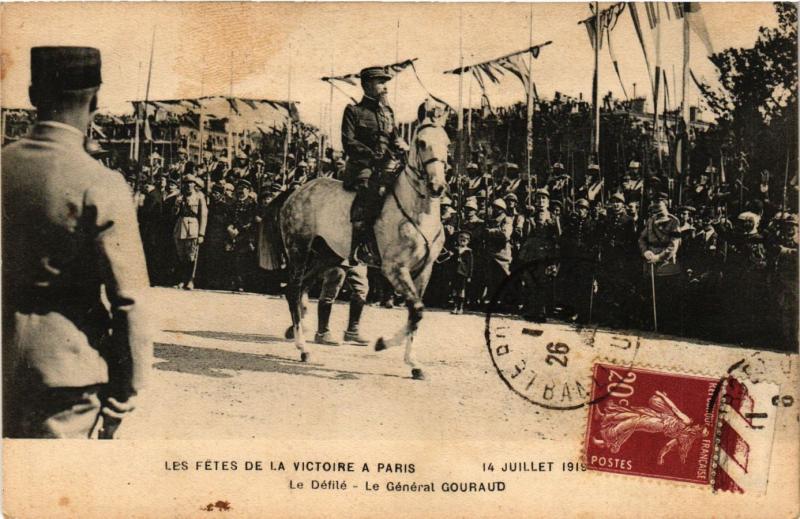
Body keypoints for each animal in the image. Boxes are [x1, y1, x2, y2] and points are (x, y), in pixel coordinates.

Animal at [268, 120, 450, 380]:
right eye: (422, 142)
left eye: (447, 143)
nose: (437, 186)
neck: (418, 213)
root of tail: (296, 191)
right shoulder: (394, 269)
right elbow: (417, 310)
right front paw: (383, 344)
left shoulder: (424, 270)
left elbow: (415, 315)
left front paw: (414, 363)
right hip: (298, 249)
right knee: (293, 290)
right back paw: (303, 348)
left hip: (327, 255)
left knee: (302, 287)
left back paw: (298, 331)